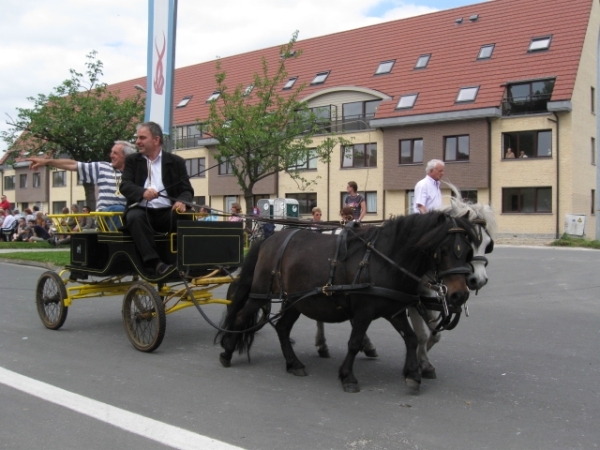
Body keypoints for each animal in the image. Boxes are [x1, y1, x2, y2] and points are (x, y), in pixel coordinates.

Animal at [216, 213, 478, 392]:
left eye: (467, 250)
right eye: (442, 249)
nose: (460, 294)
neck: (385, 258)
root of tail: (271, 238)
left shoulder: (393, 310)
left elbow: (411, 338)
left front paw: (413, 374)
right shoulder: (364, 312)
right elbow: (354, 342)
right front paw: (347, 376)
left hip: (296, 301)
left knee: (282, 328)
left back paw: (294, 364)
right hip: (261, 293)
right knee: (241, 317)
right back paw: (227, 353)